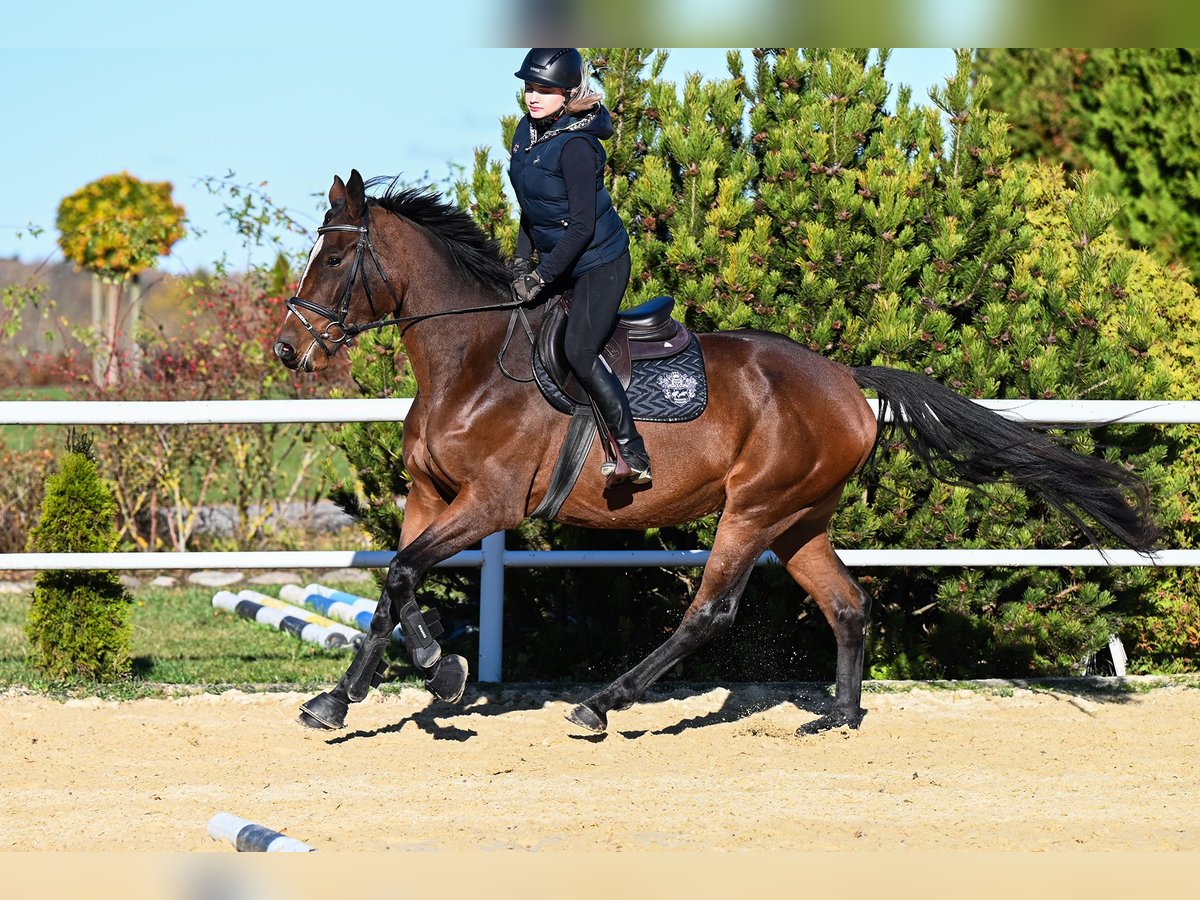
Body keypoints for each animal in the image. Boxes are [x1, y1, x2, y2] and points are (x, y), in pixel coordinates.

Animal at [270, 172, 1152, 734]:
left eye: (337, 258)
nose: (286, 349)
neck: (474, 361)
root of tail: (844, 378)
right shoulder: (427, 497)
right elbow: (392, 590)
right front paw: (340, 701)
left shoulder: (487, 503)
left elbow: (401, 578)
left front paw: (442, 672)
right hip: (799, 519)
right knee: (846, 604)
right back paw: (837, 717)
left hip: (753, 508)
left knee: (711, 611)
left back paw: (602, 704)